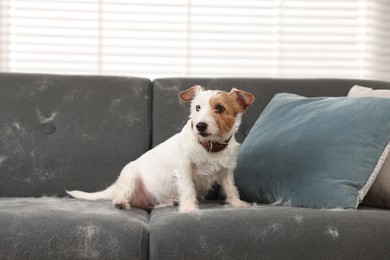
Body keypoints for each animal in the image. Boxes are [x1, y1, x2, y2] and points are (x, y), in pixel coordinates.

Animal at [66, 85, 256, 213]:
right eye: (197, 108)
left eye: (220, 108)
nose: (200, 126)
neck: (209, 145)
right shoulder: (184, 168)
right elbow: (188, 188)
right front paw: (189, 209)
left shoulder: (226, 171)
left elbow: (231, 189)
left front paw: (237, 204)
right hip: (130, 176)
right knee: (121, 193)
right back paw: (120, 202)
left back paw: (172, 201)